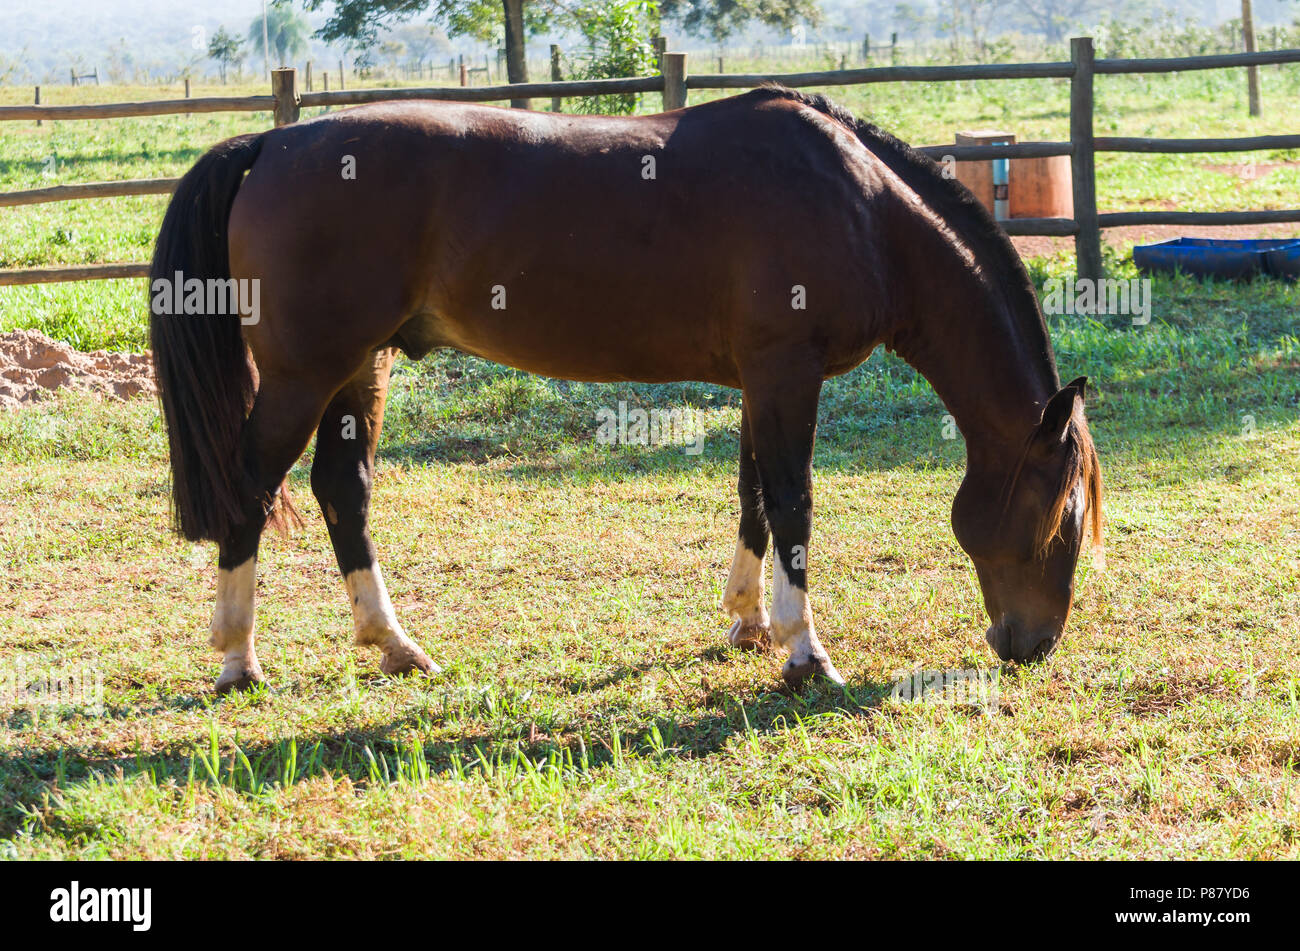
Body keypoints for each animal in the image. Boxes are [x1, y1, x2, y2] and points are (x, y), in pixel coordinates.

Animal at [149, 86, 1103, 695]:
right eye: (1062, 515)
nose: (1033, 644)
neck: (860, 206)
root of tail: (271, 144)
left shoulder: (760, 378)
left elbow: (755, 498)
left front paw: (749, 624)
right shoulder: (786, 372)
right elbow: (793, 503)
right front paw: (805, 654)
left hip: (360, 367)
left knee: (341, 491)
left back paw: (394, 644)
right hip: (306, 374)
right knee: (249, 489)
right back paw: (237, 658)